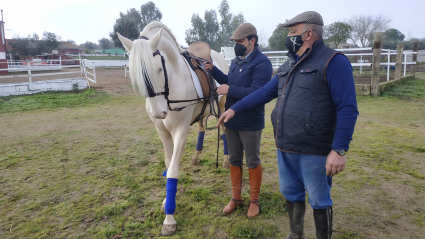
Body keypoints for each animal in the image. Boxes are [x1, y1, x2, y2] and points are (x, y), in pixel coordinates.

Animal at [116, 22, 229, 235]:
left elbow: (173, 171)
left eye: (159, 69)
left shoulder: (180, 132)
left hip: (223, 105)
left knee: (225, 130)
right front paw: (165, 202)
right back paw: (196, 157)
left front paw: (169, 219)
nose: (158, 112)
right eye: (136, 74)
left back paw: (226, 160)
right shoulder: (163, 132)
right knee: (202, 128)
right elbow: (168, 167)